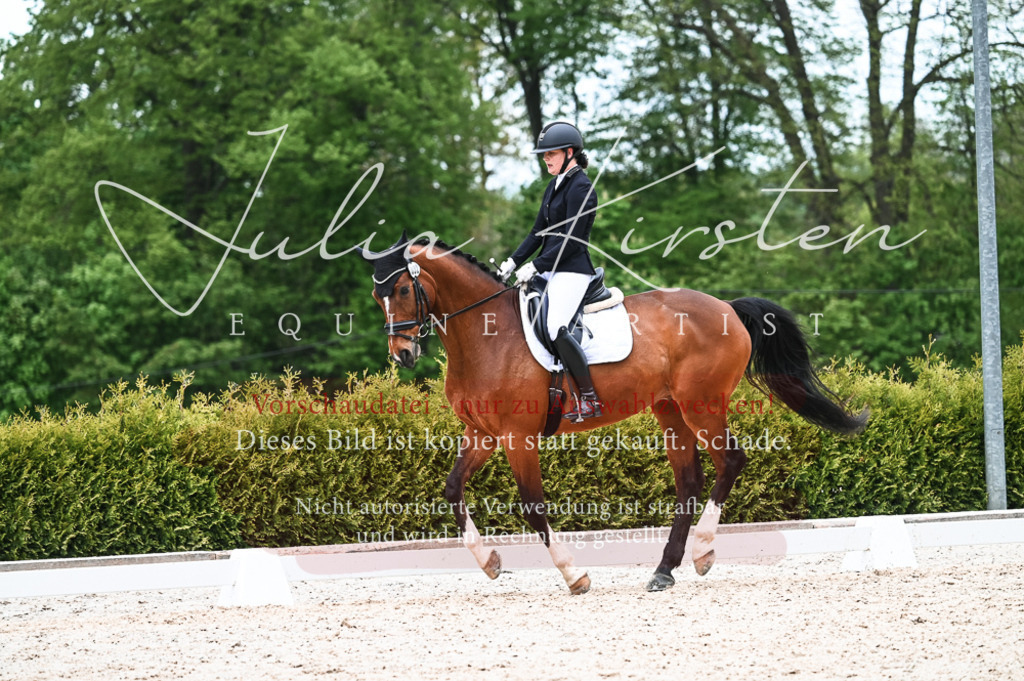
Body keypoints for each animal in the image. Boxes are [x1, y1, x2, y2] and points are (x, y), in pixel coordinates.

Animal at [358, 233, 867, 593]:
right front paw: (490, 563)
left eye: (401, 288)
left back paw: (703, 552)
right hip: (669, 411)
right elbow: (452, 489)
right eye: (376, 296)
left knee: (731, 461)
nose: (403, 354)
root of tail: (725, 306)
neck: (486, 336)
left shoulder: (518, 437)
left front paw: (574, 575)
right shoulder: (483, 433)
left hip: (702, 405)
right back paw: (664, 571)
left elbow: (533, 506)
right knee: (689, 483)